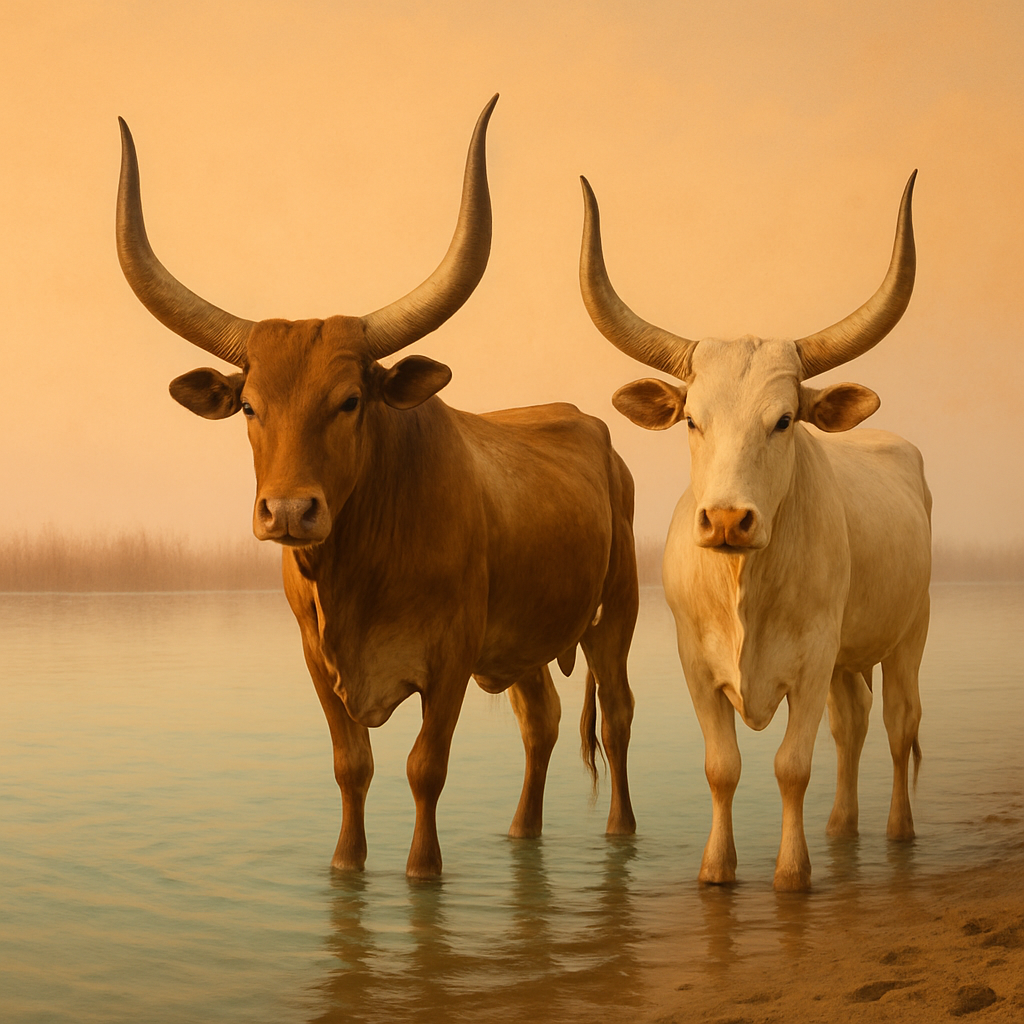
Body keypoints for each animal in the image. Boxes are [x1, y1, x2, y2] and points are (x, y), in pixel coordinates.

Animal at [116, 97, 639, 879]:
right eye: (249, 407)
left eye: (349, 401)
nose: (289, 510)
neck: (358, 571)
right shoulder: (316, 655)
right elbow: (350, 766)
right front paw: (346, 865)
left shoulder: (451, 656)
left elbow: (426, 767)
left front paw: (424, 872)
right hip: (524, 640)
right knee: (541, 721)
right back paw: (522, 833)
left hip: (617, 612)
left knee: (618, 716)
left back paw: (621, 833)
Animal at [578, 172, 931, 891]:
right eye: (693, 419)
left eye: (785, 419)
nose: (727, 519)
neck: (746, 586)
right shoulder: (697, 664)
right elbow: (723, 769)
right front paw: (718, 869)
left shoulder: (814, 659)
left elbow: (792, 767)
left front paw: (792, 874)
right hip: (850, 658)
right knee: (853, 725)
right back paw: (841, 827)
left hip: (909, 636)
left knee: (898, 726)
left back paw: (897, 830)